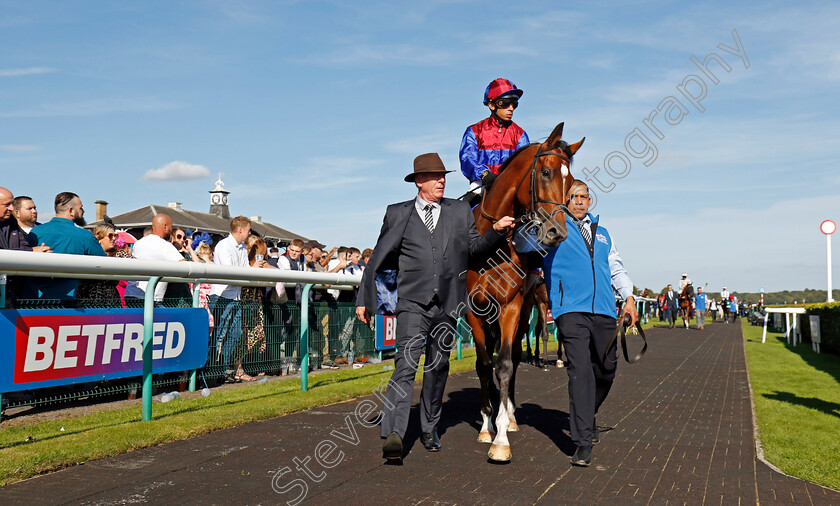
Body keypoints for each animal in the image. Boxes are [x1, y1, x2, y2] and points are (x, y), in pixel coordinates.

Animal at [466, 122, 584, 462]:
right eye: (545, 172)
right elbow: (484, 364)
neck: (490, 246)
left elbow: (505, 364)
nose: (557, 233)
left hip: (528, 305)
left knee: (516, 356)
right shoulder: (472, 309)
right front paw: (485, 426)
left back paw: (511, 415)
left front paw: (501, 437)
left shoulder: (512, 305)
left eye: (569, 179)